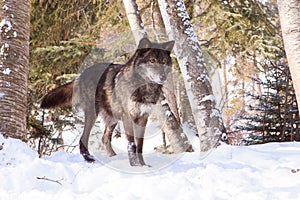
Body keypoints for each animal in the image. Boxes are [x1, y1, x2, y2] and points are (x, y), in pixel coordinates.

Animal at [41, 38, 175, 166]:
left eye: (164, 62)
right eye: (152, 61)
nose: (163, 77)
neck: (143, 88)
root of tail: (82, 74)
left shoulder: (143, 118)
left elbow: (140, 146)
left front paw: (143, 165)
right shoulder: (128, 117)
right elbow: (132, 144)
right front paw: (136, 165)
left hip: (112, 118)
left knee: (104, 138)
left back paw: (113, 158)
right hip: (93, 114)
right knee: (83, 138)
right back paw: (89, 159)